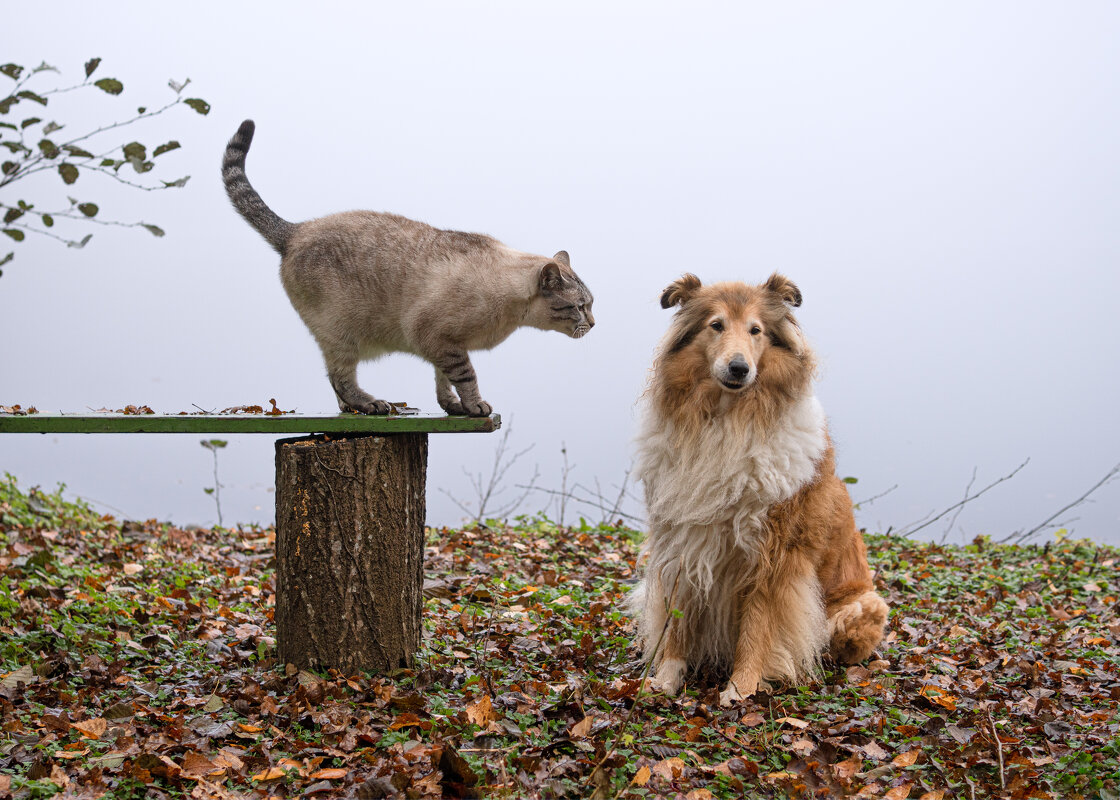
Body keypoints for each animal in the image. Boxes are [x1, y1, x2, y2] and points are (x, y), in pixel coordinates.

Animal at [221, 121, 600, 416]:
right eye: (581, 307)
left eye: (591, 305)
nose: (595, 324)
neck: (514, 313)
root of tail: (296, 229)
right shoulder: (437, 336)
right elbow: (466, 376)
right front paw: (475, 405)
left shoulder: (444, 344)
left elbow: (443, 380)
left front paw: (453, 407)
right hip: (341, 334)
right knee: (340, 378)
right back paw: (369, 404)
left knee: (335, 382)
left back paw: (355, 408)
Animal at [631, 271, 891, 699]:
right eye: (716, 325)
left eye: (756, 330)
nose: (738, 368)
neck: (728, 420)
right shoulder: (684, 538)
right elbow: (678, 619)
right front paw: (667, 679)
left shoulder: (774, 552)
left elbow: (758, 625)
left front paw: (741, 689)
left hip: (857, 609)